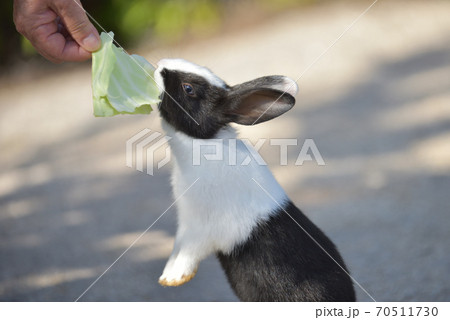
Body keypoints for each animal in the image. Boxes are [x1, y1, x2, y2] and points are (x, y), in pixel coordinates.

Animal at [153, 58, 356, 302]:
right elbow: (177, 246)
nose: (161, 64)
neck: (203, 143)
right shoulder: (186, 224)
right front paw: (169, 275)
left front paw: (172, 279)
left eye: (188, 89)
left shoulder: (200, 228)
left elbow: (188, 252)